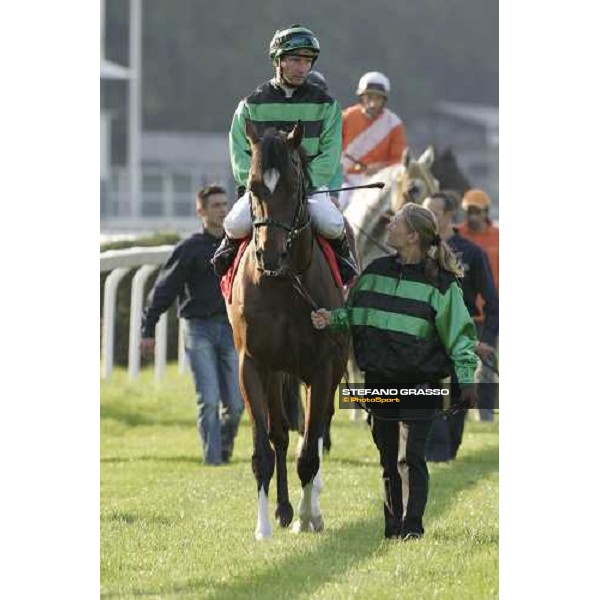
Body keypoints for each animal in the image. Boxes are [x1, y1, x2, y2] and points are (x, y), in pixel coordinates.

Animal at [230, 118, 352, 540]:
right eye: (253, 186)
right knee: (282, 436)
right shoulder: (253, 364)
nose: (269, 254)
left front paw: (307, 516)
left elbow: (310, 451)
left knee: (315, 432)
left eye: (293, 185)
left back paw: (308, 506)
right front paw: (265, 525)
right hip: (277, 373)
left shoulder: (321, 367)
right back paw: (283, 509)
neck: (283, 285)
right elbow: (264, 450)